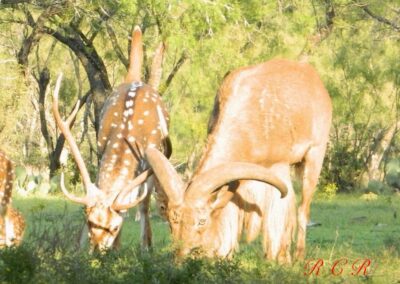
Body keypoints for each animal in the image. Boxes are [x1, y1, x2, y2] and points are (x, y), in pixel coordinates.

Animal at [52, 25, 171, 250]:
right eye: (90, 222)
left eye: (114, 227)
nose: (97, 249)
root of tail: (136, 80)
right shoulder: (100, 149)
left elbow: (140, 204)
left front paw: (143, 247)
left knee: (143, 205)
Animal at [144, 59, 332, 262]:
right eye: (170, 218)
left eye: (202, 221)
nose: (182, 257)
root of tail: (315, 80)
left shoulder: (278, 167)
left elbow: (278, 216)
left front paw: (279, 258)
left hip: (315, 154)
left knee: (303, 210)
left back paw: (298, 255)